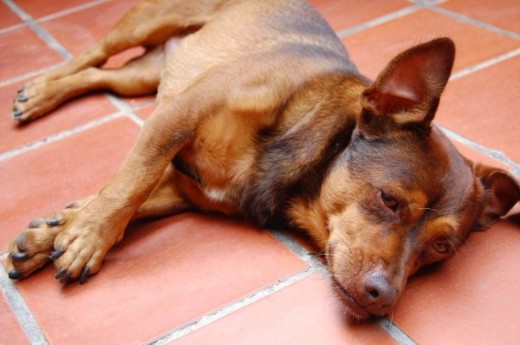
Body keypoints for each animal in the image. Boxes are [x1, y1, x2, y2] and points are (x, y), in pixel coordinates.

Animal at [5, 0, 520, 320]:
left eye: (442, 248)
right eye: (388, 200)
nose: (384, 297)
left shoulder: (185, 187)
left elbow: (130, 196)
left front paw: (56, 232)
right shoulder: (178, 114)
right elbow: (130, 182)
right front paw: (87, 236)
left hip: (147, 73)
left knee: (102, 76)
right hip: (148, 22)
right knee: (91, 55)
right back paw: (40, 88)